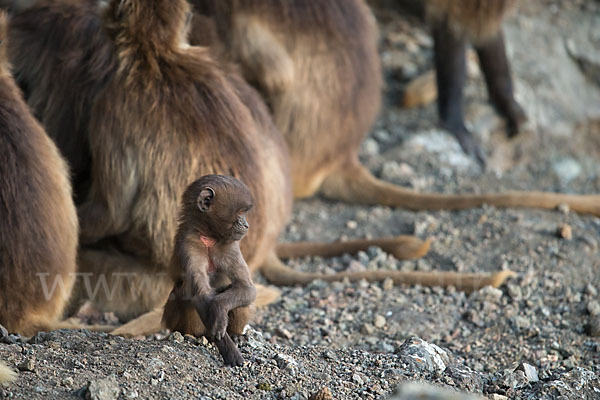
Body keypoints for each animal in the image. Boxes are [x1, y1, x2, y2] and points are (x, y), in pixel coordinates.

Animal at [164, 175, 258, 366]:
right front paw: (231, 353)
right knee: (183, 295)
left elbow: (246, 288)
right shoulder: (189, 245)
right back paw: (193, 336)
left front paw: (220, 310)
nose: (247, 225)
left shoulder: (230, 246)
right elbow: (200, 295)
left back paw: (236, 335)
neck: (209, 237)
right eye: (240, 212)